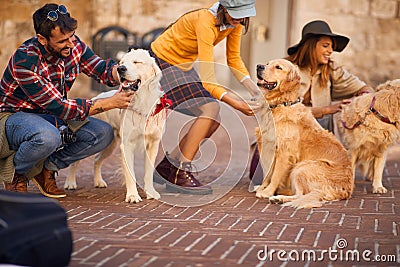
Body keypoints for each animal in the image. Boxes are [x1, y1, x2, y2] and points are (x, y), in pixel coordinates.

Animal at [65, 48, 168, 203]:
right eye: (121, 62)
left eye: (136, 62)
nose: (120, 69)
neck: (141, 100)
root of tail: (95, 98)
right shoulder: (127, 145)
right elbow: (130, 173)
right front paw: (132, 195)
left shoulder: (152, 144)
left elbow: (148, 172)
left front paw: (150, 192)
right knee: (75, 162)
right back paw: (70, 183)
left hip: (110, 144)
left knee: (97, 160)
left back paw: (98, 182)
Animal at [253, 59, 354, 209]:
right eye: (267, 63)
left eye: (278, 67)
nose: (259, 66)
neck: (281, 104)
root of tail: (345, 190)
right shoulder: (268, 146)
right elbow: (267, 173)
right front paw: (262, 188)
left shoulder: (285, 152)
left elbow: (275, 175)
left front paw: (267, 192)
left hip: (302, 167)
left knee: (302, 195)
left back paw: (279, 198)